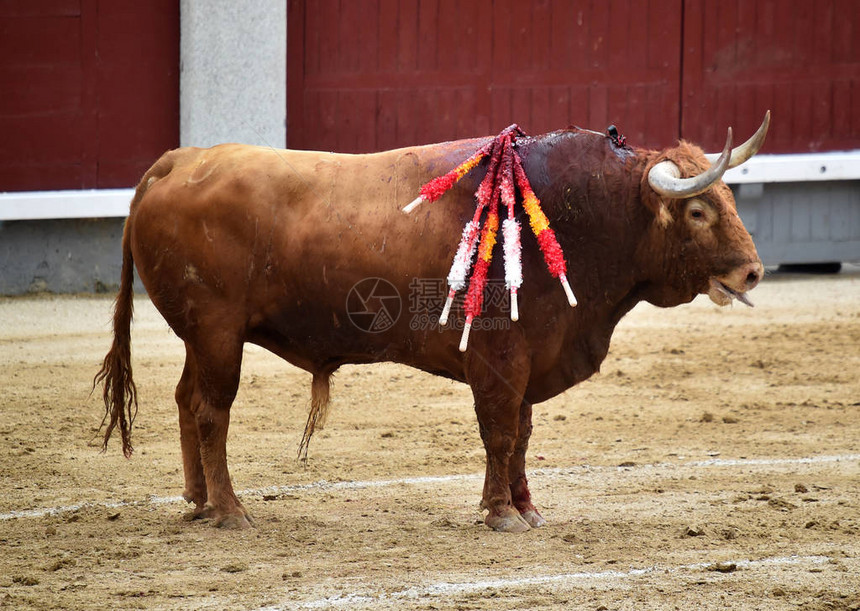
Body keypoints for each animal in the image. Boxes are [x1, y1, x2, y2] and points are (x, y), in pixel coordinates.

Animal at [97, 112, 768, 532]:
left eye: (730, 200)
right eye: (700, 209)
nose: (753, 272)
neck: (578, 210)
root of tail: (179, 161)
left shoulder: (531, 356)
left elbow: (521, 434)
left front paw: (525, 508)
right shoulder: (501, 360)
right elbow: (500, 433)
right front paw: (501, 515)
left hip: (203, 337)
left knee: (186, 401)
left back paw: (197, 502)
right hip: (217, 333)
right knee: (212, 411)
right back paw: (231, 511)